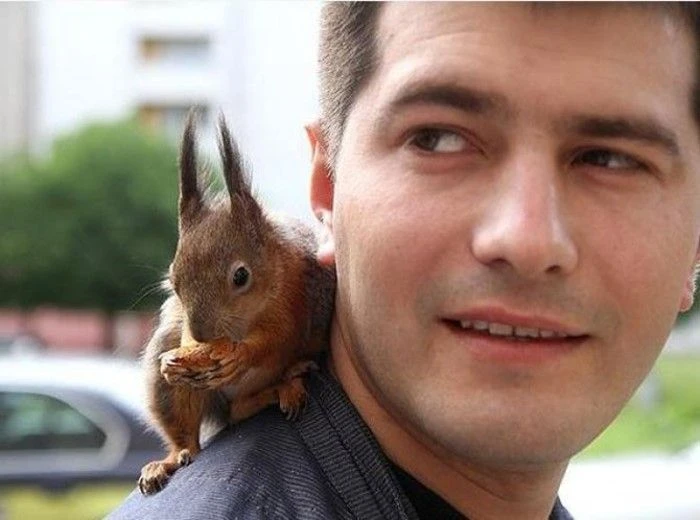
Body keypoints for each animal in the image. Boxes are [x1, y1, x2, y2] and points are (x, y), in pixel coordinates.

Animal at [137, 113, 336, 495]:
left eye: (241, 276)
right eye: (173, 279)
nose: (202, 333)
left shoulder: (293, 301)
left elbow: (275, 340)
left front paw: (240, 354)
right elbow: (183, 345)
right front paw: (175, 361)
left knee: (243, 409)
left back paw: (287, 382)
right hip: (171, 392)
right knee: (192, 431)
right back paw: (167, 460)